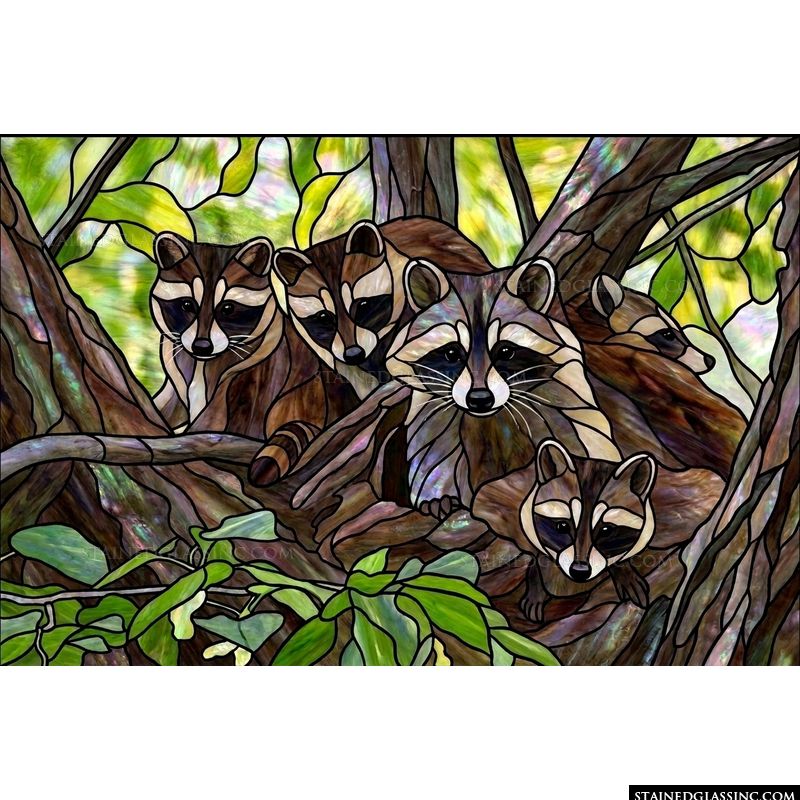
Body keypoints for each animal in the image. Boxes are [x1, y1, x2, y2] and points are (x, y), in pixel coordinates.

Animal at [384, 257, 619, 517]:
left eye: (506, 351)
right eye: (452, 353)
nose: (479, 398)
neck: (488, 417)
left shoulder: (559, 406)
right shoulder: (437, 413)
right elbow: (436, 454)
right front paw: (439, 496)